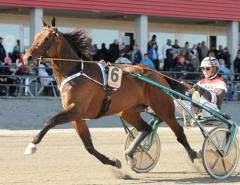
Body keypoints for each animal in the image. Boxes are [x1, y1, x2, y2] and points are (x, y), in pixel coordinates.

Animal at [23, 18, 200, 169]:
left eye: (46, 38)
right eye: (36, 36)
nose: (27, 57)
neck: (75, 72)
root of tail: (155, 72)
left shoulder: (74, 110)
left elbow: (49, 122)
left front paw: (31, 146)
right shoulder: (77, 117)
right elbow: (88, 146)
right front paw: (114, 163)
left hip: (163, 108)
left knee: (179, 133)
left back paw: (195, 157)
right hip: (128, 111)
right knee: (146, 128)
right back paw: (131, 154)